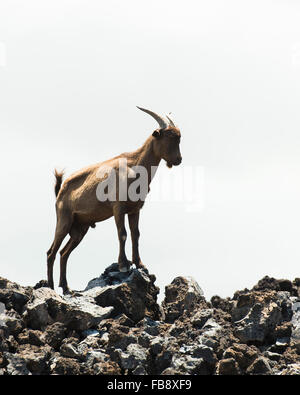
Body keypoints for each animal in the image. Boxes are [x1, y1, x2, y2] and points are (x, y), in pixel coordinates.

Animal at [47, 106, 183, 296]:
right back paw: (50, 286)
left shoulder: (135, 209)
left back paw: (66, 288)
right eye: (169, 136)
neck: (135, 166)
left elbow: (136, 234)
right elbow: (122, 233)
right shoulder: (118, 207)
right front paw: (124, 265)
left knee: (63, 252)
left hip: (80, 228)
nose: (178, 160)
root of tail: (60, 189)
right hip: (64, 220)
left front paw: (140, 264)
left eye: (179, 137)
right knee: (51, 252)